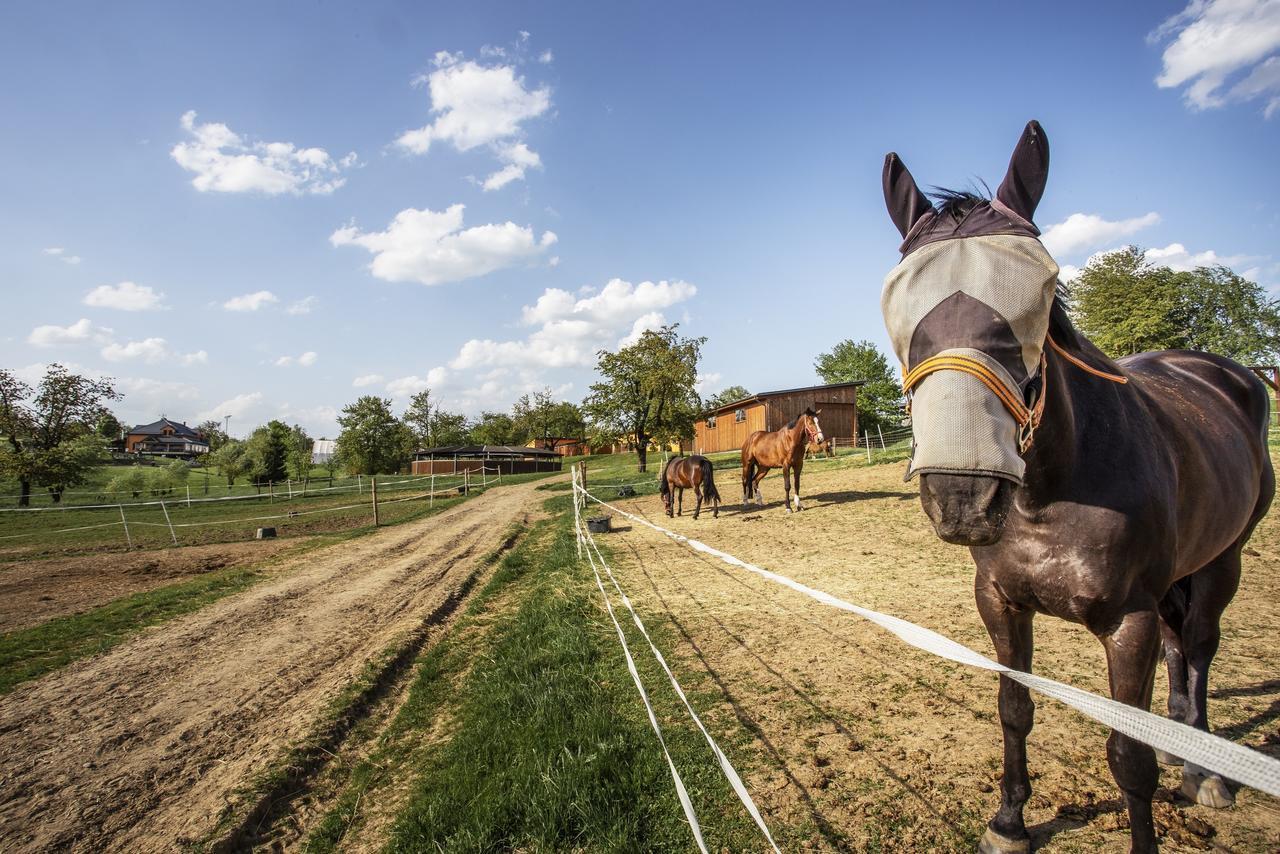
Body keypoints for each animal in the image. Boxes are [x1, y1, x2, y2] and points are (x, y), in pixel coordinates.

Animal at [880, 121, 1269, 854]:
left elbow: (1129, 757)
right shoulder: (1000, 602)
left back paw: (1205, 770)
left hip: (1220, 563)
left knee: (1200, 647)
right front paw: (1009, 821)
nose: (961, 495)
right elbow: (1014, 709)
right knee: (1181, 651)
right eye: (897, 309)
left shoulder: (1128, 621)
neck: (1047, 500)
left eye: (1037, 300)